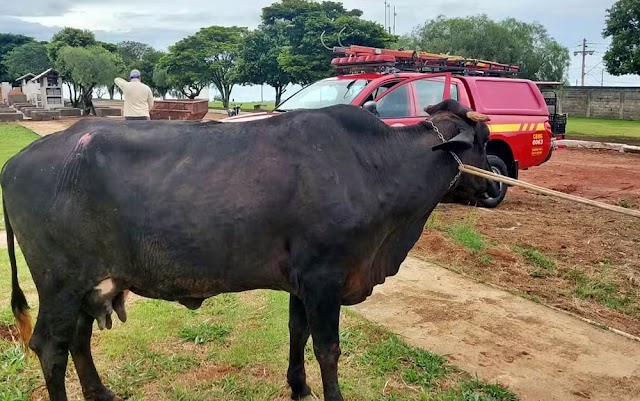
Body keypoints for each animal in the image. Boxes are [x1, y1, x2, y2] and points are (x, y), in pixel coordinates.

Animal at [1, 98, 500, 400]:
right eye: (479, 143)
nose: (497, 188)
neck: (373, 166)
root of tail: (17, 161)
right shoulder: (324, 277)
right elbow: (328, 348)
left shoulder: (302, 280)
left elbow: (298, 333)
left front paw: (298, 387)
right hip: (60, 282)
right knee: (50, 346)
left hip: (89, 285)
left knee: (78, 341)